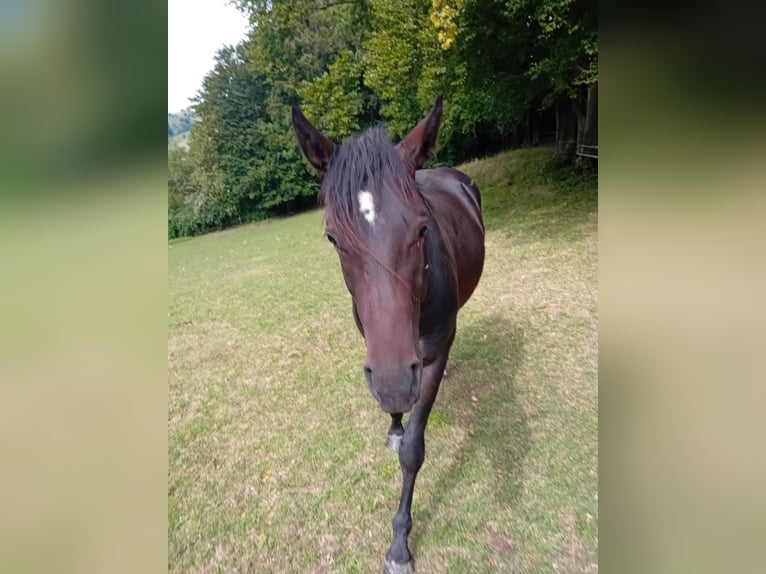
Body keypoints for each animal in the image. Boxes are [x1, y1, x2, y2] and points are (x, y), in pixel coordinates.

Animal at [292, 95, 485, 574]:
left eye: (422, 228)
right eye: (332, 237)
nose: (398, 381)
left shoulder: (428, 354)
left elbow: (412, 451)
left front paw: (399, 543)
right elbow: (396, 415)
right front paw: (395, 422)